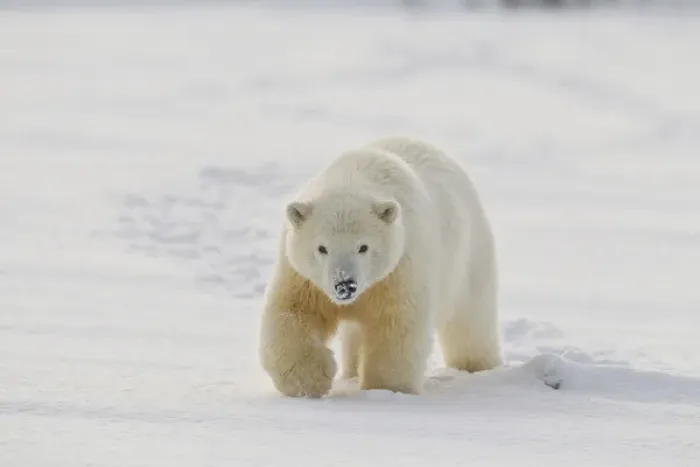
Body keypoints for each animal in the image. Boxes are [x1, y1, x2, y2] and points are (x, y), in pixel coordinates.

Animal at [258, 136, 503, 398]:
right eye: (322, 248)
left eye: (363, 247)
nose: (345, 285)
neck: (352, 175)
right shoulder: (302, 278)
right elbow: (290, 312)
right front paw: (311, 380)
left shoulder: (400, 269)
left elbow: (396, 325)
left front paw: (386, 389)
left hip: (469, 255)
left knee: (471, 319)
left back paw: (476, 366)